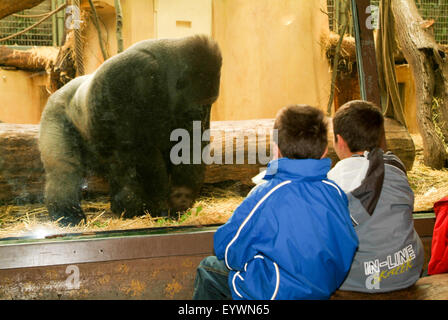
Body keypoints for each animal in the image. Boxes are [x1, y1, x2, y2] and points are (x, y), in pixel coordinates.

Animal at [39, 34, 222, 225]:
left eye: (210, 103)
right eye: (201, 103)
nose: (202, 115)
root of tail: (58, 91)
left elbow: (189, 147)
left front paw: (181, 199)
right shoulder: (131, 73)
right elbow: (141, 150)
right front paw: (160, 205)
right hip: (55, 111)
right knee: (63, 170)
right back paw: (66, 213)